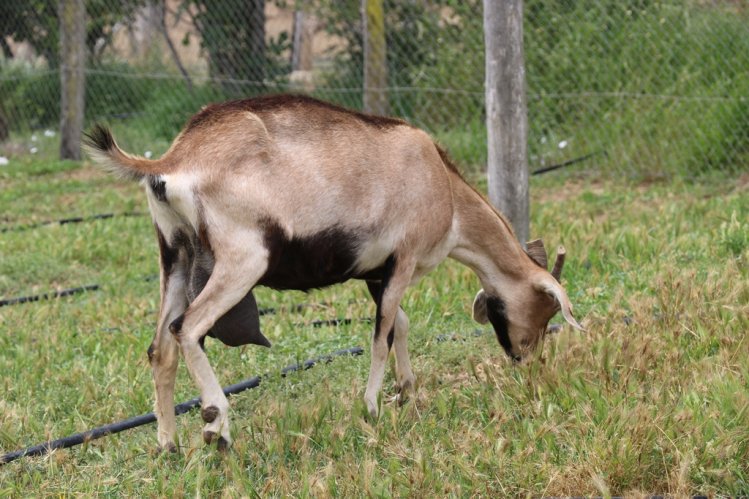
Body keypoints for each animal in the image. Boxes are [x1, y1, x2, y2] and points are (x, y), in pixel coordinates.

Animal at [84, 94, 580, 454]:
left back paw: (167, 446)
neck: (443, 185)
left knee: (159, 347)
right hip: (243, 260)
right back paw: (216, 426)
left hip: (176, 257)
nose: (525, 360)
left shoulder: (376, 273)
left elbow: (399, 325)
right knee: (187, 329)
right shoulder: (402, 260)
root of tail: (172, 159)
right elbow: (382, 336)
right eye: (543, 309)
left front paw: (406, 391)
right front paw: (372, 407)